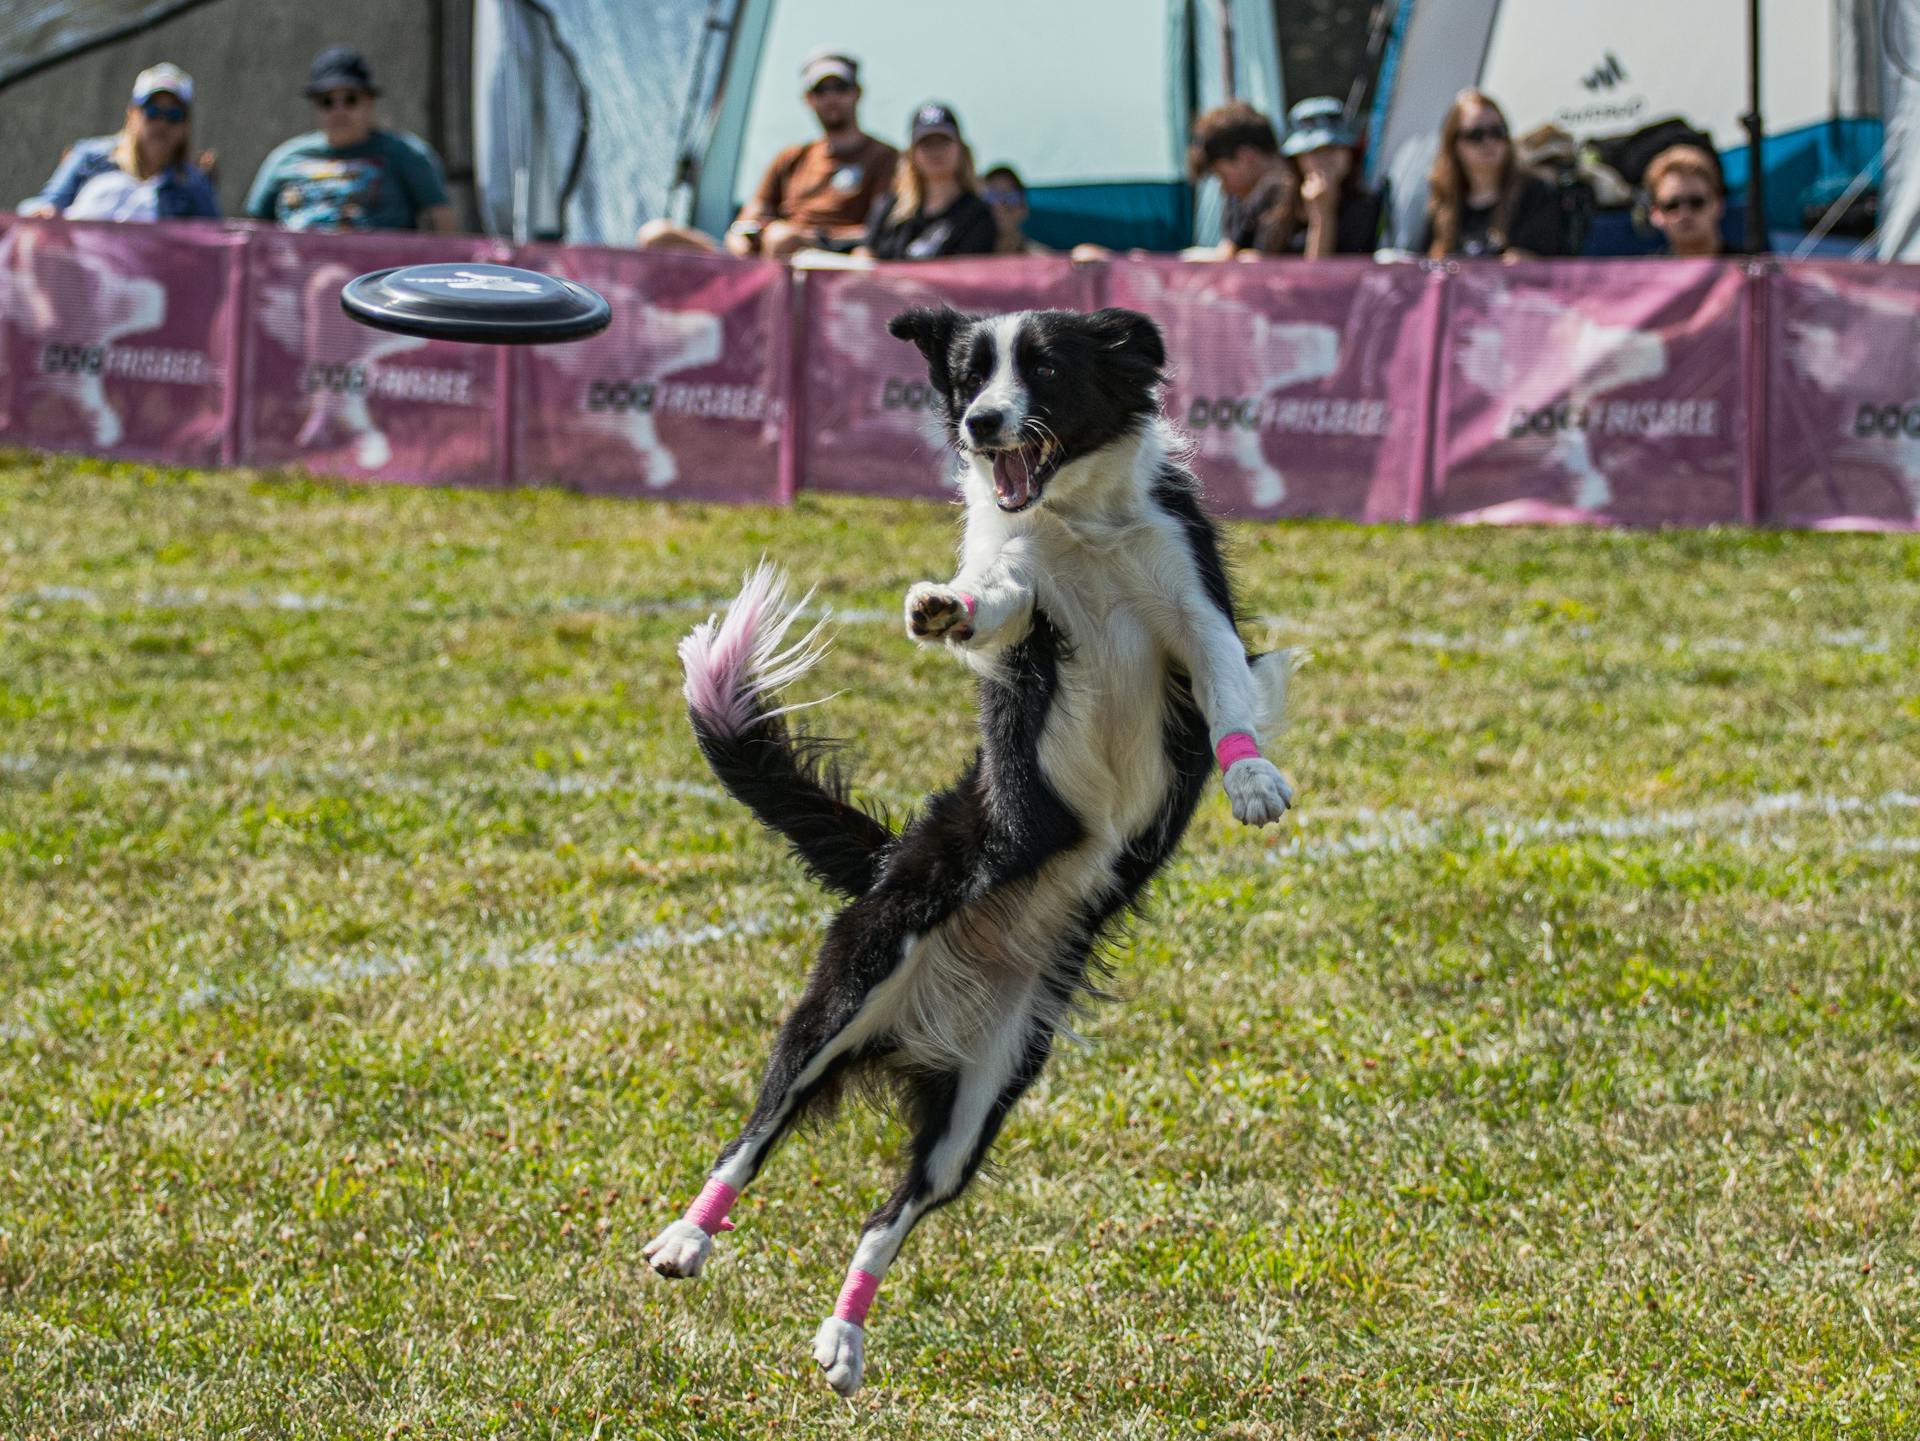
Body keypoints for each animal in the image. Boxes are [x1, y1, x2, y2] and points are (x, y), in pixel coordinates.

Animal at [645, 307, 1290, 1396]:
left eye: (1047, 366)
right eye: (965, 375)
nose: (984, 424)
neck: (1082, 522)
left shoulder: (1191, 602)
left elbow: (1228, 683)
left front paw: (1252, 779)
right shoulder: (1024, 594)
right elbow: (994, 598)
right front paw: (940, 609)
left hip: (984, 1095)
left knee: (888, 1213)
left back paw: (843, 1336)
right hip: (850, 990)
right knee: (756, 1129)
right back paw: (687, 1237)